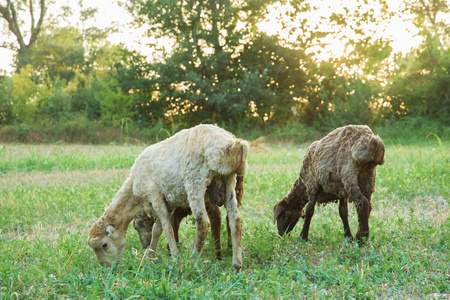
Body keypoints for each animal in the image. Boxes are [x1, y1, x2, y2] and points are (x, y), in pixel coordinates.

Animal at [87, 123, 250, 270]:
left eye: (104, 245)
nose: (108, 268)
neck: (133, 191)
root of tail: (231, 144)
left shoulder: (156, 196)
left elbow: (167, 227)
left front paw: (175, 258)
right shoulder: (167, 203)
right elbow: (157, 229)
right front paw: (150, 257)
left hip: (195, 182)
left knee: (203, 223)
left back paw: (191, 262)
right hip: (229, 181)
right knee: (235, 219)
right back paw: (236, 265)